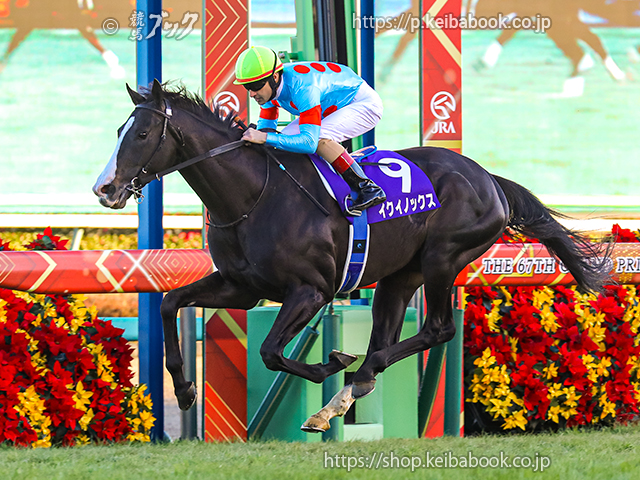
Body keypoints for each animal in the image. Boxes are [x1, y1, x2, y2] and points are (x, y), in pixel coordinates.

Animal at [93, 80, 610, 432]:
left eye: (141, 134)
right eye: (119, 130)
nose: (104, 189)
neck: (253, 196)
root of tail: (489, 178)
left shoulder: (312, 291)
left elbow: (270, 351)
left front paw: (330, 363)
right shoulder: (241, 287)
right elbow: (168, 302)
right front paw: (183, 389)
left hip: (443, 259)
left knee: (437, 329)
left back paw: (353, 379)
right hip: (400, 276)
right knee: (388, 336)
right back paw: (344, 396)